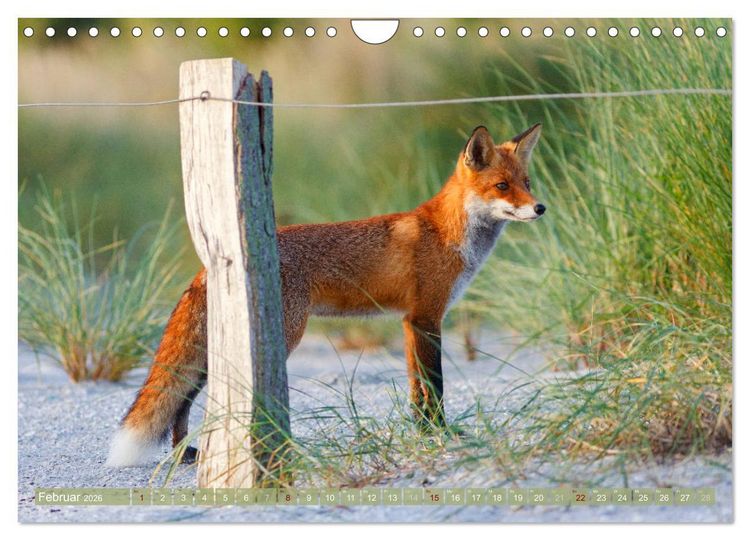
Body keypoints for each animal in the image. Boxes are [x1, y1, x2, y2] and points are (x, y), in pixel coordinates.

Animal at [106, 123, 546, 467]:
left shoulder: (410, 321)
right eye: (502, 186)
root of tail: (210, 263)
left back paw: (185, 453)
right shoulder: (427, 317)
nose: (540, 208)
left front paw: (422, 432)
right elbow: (434, 386)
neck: (447, 233)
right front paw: (441, 432)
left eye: (526, 184)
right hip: (282, 334)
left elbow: (415, 390)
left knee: (181, 400)